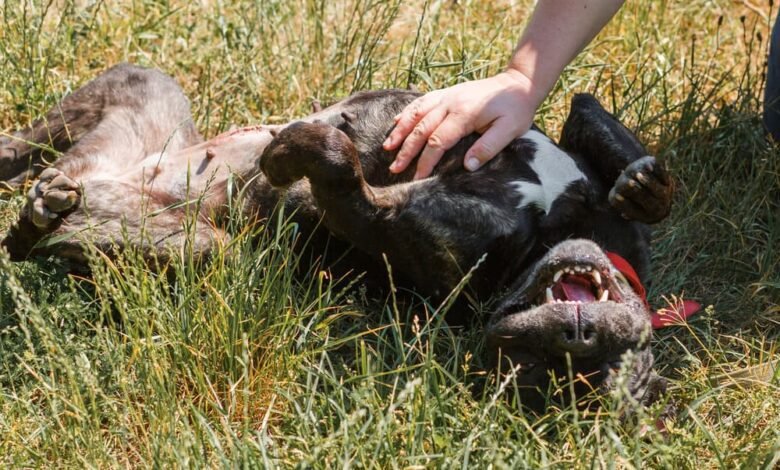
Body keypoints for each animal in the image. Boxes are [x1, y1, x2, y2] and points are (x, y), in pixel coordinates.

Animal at [0, 63, 672, 412]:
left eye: (544, 373)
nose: (577, 334)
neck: (550, 231)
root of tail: (101, 177)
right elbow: (597, 121)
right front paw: (644, 185)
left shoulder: (378, 218)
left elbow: (335, 159)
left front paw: (284, 156)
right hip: (141, 89)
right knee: (27, 150)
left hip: (196, 245)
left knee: (25, 243)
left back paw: (39, 216)